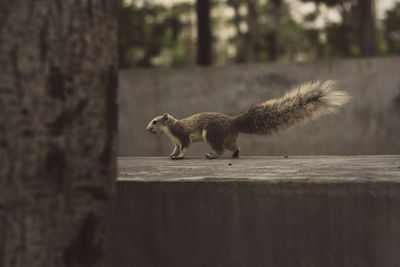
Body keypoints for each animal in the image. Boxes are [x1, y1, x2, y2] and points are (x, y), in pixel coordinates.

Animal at [146, 80, 350, 160]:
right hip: (227, 138)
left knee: (220, 149)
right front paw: (173, 155)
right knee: (234, 146)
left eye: (155, 121)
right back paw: (235, 154)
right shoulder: (176, 140)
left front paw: (179, 157)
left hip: (211, 133)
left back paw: (212, 155)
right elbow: (175, 148)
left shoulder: (182, 136)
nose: (147, 129)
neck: (170, 128)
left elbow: (185, 147)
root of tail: (233, 122)